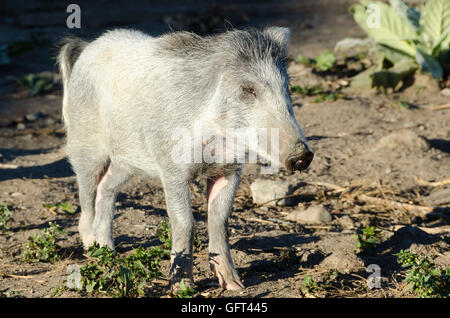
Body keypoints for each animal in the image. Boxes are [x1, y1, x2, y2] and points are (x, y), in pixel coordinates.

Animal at [58, 27, 312, 294]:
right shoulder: (172, 169)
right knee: (86, 196)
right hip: (85, 146)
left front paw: (235, 286)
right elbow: (185, 223)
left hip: (126, 162)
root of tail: (87, 47)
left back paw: (109, 251)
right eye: (248, 89)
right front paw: (183, 289)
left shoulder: (230, 169)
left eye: (287, 87)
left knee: (106, 188)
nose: (302, 155)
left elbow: (219, 220)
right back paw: (91, 249)